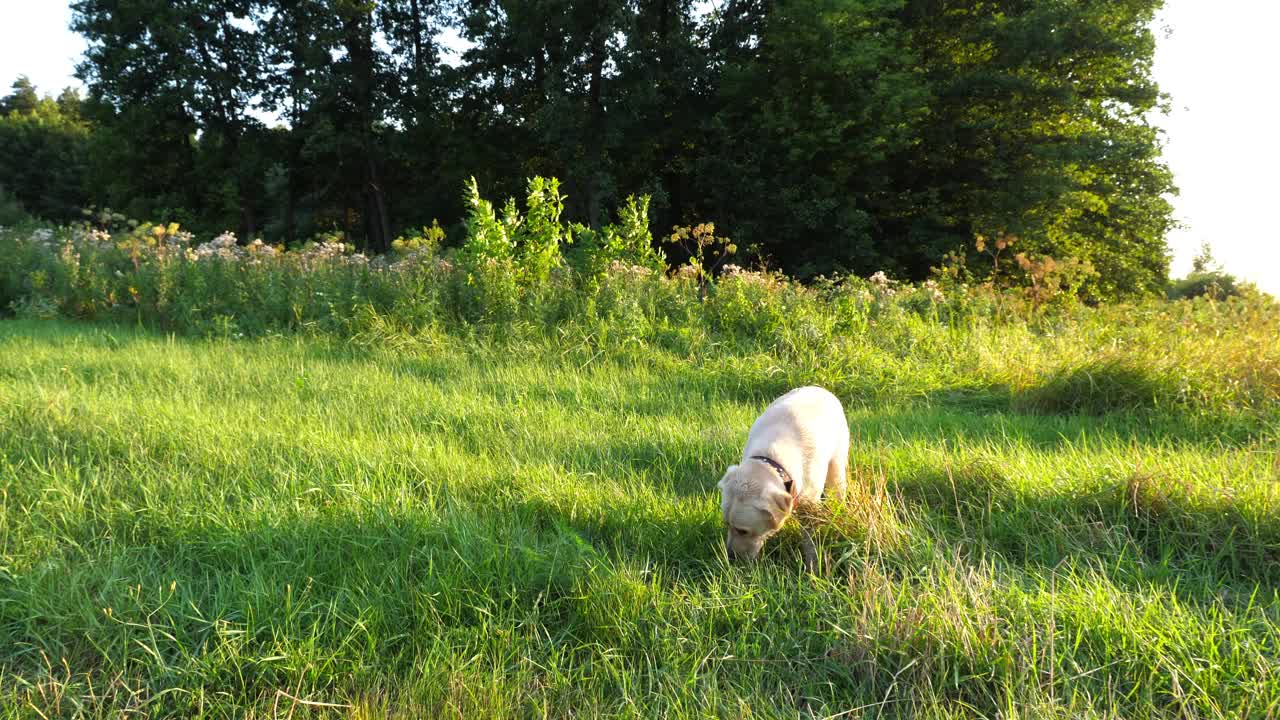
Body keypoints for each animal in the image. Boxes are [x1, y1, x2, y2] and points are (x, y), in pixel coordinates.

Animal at [721, 386, 849, 561]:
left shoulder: (810, 505)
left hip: (837, 460)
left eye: (743, 530)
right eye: (726, 524)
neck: (770, 460)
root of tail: (820, 388)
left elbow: (809, 537)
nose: (731, 557)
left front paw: (812, 562)